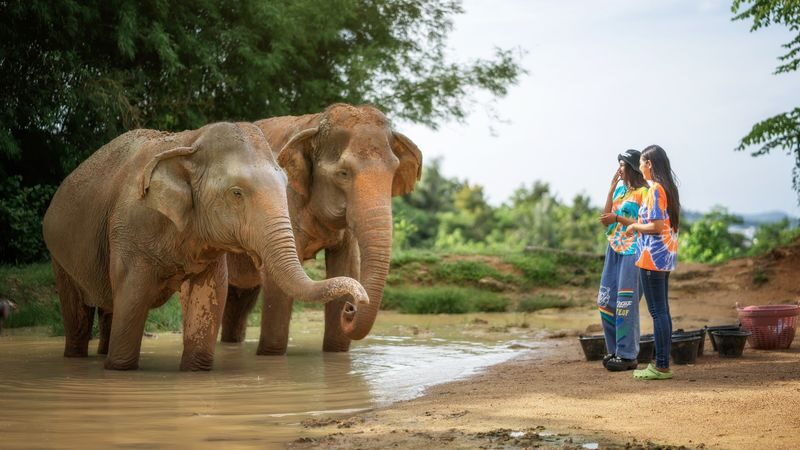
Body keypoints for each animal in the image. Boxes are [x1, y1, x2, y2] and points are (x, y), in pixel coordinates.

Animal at [42, 122, 368, 371]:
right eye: (236, 193)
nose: (355, 303)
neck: (189, 143)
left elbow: (211, 293)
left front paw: (195, 371)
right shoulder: (130, 231)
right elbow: (133, 296)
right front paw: (119, 369)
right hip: (59, 254)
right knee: (78, 314)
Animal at [220, 103, 422, 353]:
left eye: (394, 173)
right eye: (343, 173)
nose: (351, 308)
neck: (314, 124)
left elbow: (346, 268)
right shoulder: (282, 200)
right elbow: (278, 282)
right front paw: (270, 355)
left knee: (239, 302)